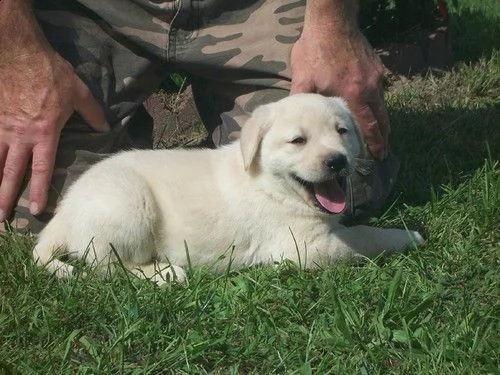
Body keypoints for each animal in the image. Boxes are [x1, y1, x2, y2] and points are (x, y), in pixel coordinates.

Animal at [33, 94, 424, 284]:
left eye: (342, 131)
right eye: (298, 141)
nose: (337, 161)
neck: (271, 184)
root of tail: (63, 214)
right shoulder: (305, 247)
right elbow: (365, 236)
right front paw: (408, 236)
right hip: (126, 204)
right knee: (105, 266)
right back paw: (165, 273)